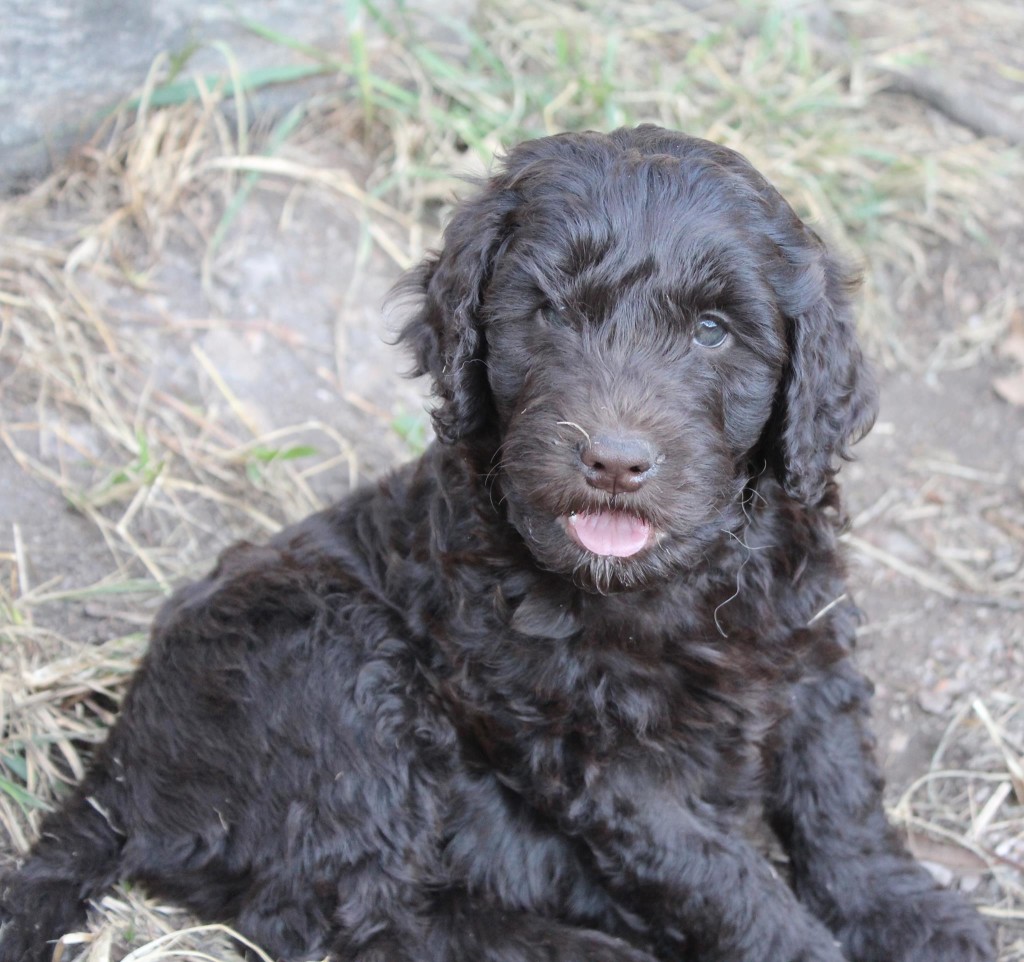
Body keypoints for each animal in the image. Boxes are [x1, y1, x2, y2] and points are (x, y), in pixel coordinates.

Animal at [0, 128, 991, 962]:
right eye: (551, 313)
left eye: (714, 330)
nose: (614, 460)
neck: (674, 584)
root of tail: (115, 765)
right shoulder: (606, 761)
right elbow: (725, 881)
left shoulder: (810, 651)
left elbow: (842, 806)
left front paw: (912, 918)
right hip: (332, 662)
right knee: (351, 916)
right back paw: (583, 952)